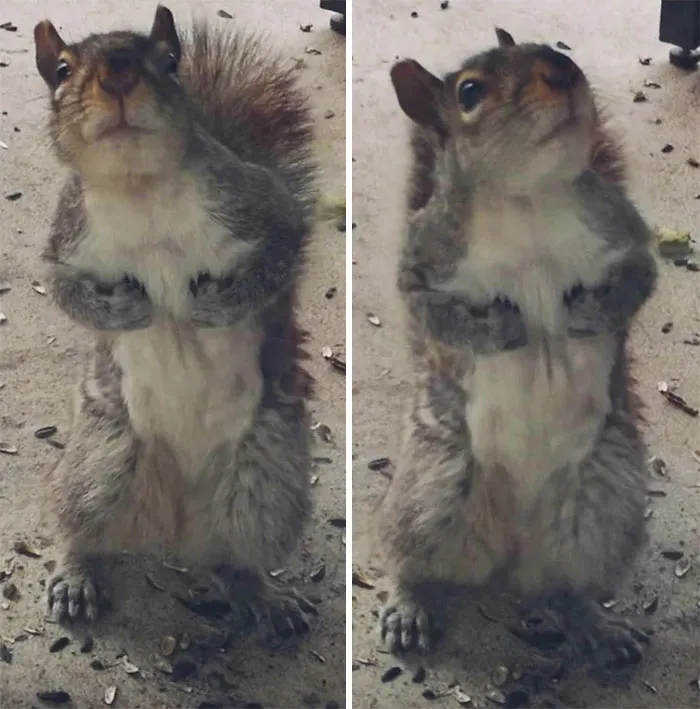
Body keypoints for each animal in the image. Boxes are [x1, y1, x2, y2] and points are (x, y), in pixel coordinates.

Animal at [33, 5, 320, 636]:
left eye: (169, 62)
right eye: (60, 69)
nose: (117, 75)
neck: (141, 189)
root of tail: (176, 512)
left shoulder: (261, 205)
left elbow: (283, 252)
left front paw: (216, 307)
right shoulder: (66, 241)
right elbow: (66, 292)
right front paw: (127, 309)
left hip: (266, 481)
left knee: (233, 553)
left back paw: (262, 595)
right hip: (99, 460)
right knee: (83, 526)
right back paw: (77, 574)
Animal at [376, 28, 657, 668]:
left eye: (554, 46)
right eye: (469, 92)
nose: (562, 72)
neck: (530, 201)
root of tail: (510, 545)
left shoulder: (624, 233)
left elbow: (637, 280)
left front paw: (589, 314)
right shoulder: (422, 260)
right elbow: (433, 311)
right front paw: (498, 331)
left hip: (603, 507)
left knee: (567, 587)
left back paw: (594, 623)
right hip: (433, 487)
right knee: (409, 554)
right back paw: (408, 603)